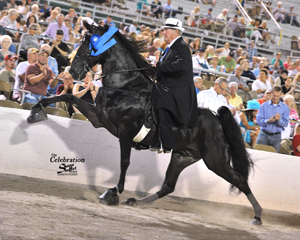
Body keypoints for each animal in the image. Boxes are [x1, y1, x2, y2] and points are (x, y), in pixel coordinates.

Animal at [27, 21, 262, 224]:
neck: (126, 86)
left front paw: (113, 193)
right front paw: (36, 111)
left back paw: (258, 216)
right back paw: (136, 202)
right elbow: (67, 96)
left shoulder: (125, 131)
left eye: (90, 44)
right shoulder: (98, 118)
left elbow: (124, 162)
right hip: (183, 155)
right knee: (168, 186)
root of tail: (216, 118)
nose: (72, 71)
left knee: (240, 180)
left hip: (215, 160)